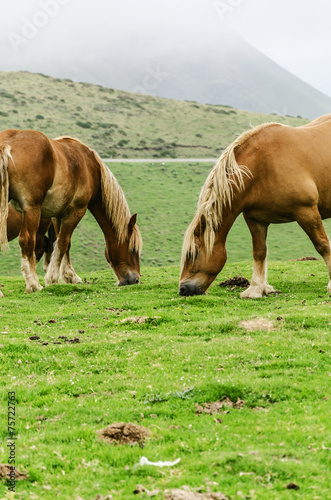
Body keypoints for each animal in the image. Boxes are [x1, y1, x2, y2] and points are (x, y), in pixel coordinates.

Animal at [0, 130, 141, 292]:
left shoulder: (58, 215)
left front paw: (69, 276)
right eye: (133, 249)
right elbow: (63, 242)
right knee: (27, 240)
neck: (91, 167)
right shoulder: (76, 211)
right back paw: (33, 284)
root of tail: (6, 143)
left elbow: (62, 244)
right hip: (32, 209)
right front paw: (53, 279)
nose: (135, 280)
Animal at [180, 114, 331, 296]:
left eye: (193, 253)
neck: (263, 166)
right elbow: (259, 252)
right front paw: (256, 289)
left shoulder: (306, 212)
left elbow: (323, 245)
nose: (183, 289)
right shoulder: (255, 218)